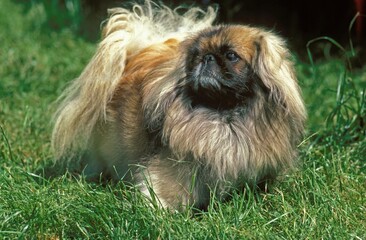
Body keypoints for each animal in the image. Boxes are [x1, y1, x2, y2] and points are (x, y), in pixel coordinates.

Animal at [51, 0, 308, 209]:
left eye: (231, 56)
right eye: (195, 57)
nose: (207, 58)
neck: (223, 116)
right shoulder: (175, 168)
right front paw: (160, 210)